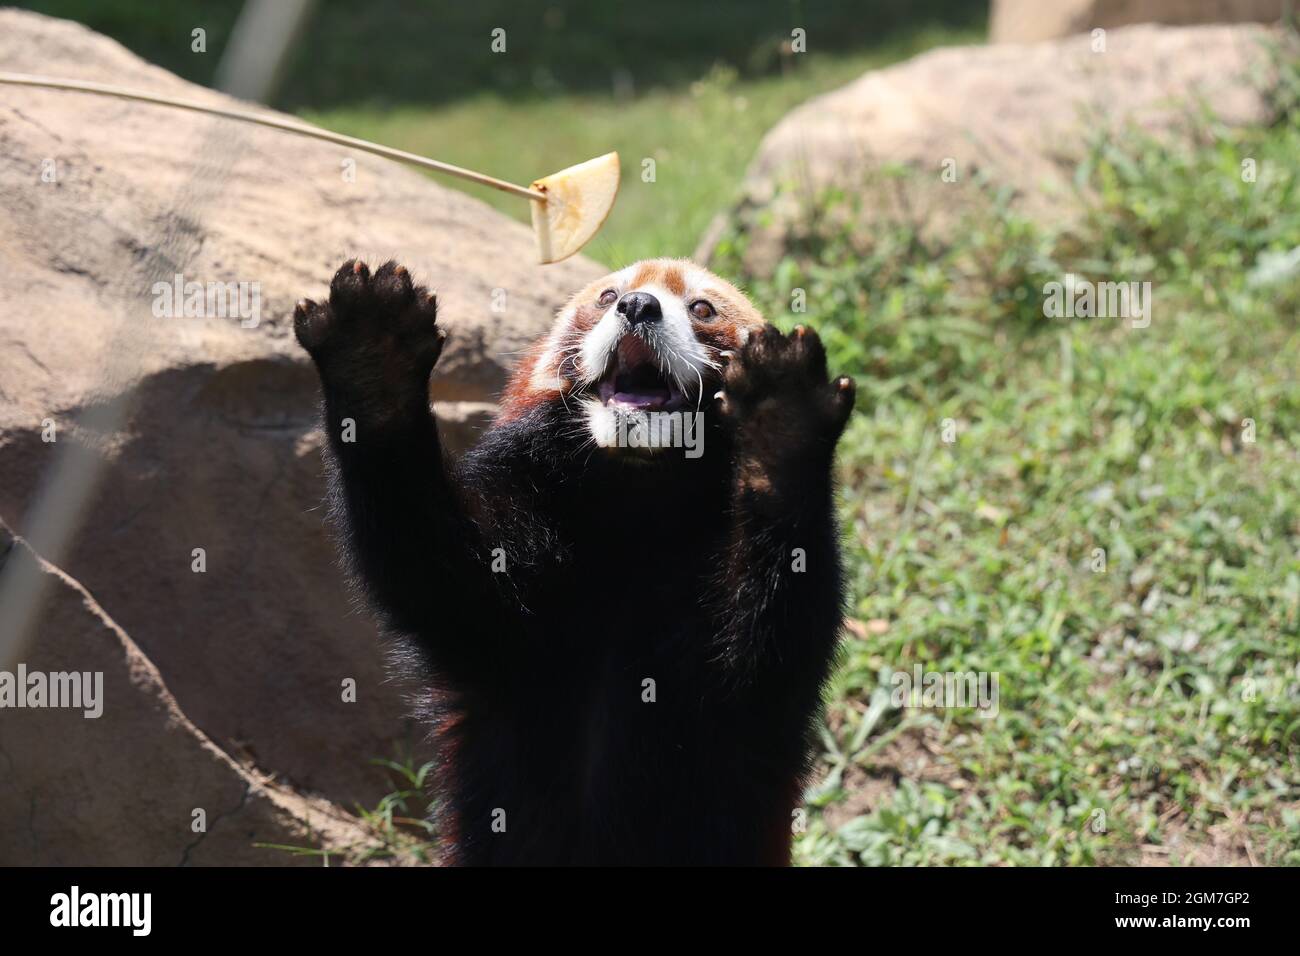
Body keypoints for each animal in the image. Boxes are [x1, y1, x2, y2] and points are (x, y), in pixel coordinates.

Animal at [299, 256, 857, 868]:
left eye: (702, 309)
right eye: (609, 296)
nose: (638, 306)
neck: (637, 493)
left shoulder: (746, 700)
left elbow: (766, 645)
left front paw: (782, 426)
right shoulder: (511, 612)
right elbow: (428, 571)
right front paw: (372, 359)